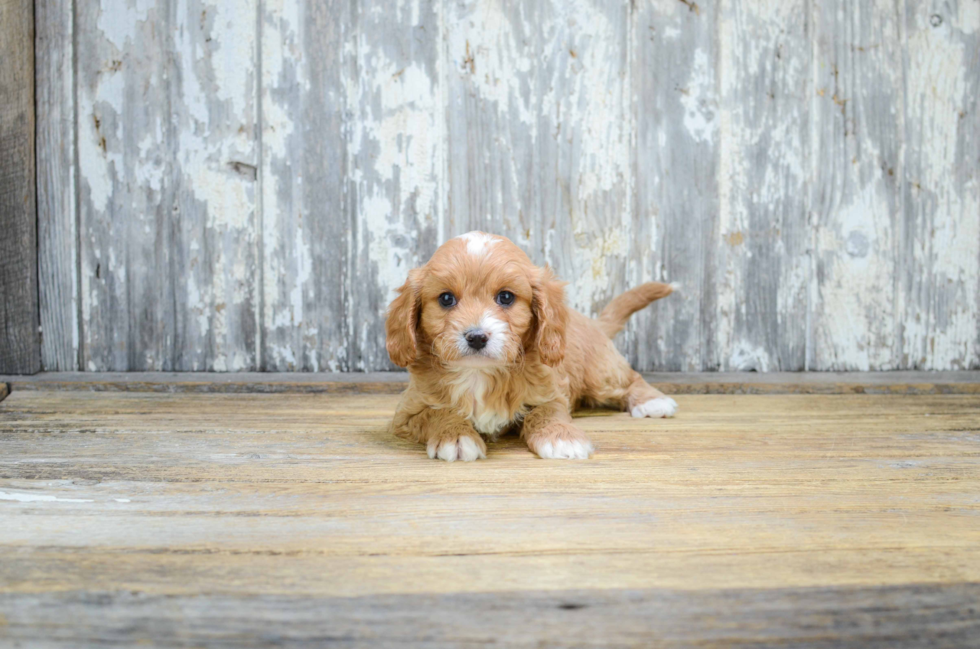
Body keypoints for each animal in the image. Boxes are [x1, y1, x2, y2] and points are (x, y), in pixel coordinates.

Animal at [386, 230, 676, 458]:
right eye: (446, 299)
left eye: (505, 297)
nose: (477, 337)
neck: (478, 373)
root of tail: (594, 323)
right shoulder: (408, 411)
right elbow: (437, 414)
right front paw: (456, 437)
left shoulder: (551, 392)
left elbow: (547, 412)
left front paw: (561, 437)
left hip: (600, 374)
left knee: (630, 378)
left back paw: (652, 401)